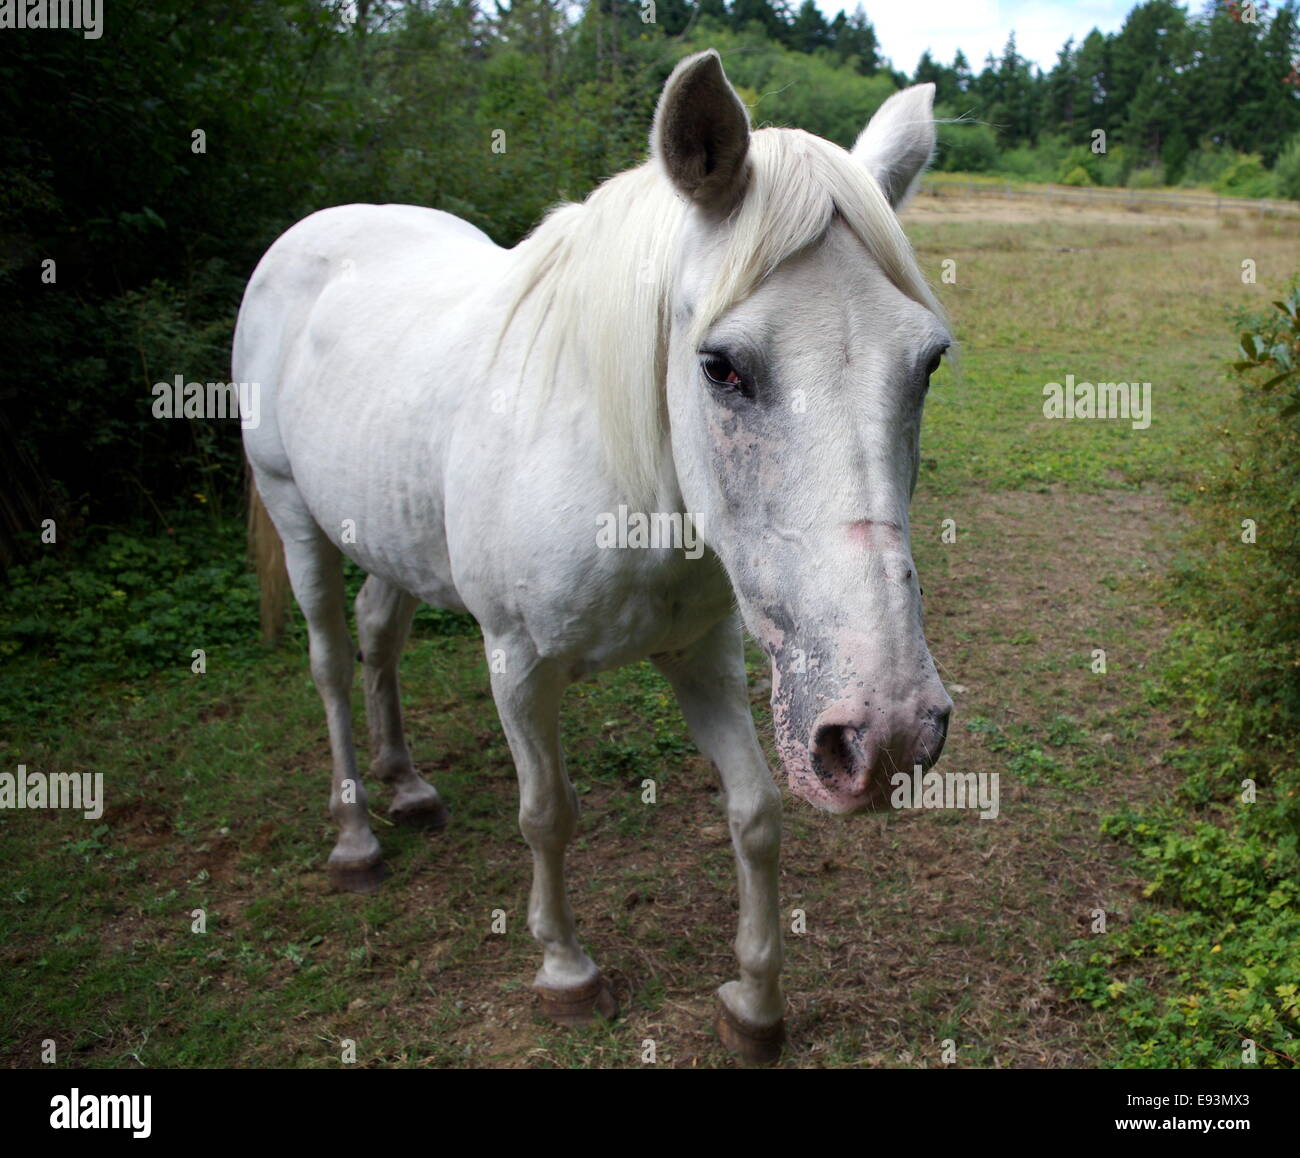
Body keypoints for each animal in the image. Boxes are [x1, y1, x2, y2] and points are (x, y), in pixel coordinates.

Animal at [233, 56, 951, 1070]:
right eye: (722, 366)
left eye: (928, 362)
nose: (886, 737)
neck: (622, 471)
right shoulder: (518, 663)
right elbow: (548, 814)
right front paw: (566, 971)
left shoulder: (703, 656)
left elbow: (755, 814)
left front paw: (754, 1003)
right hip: (296, 514)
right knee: (332, 663)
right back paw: (355, 838)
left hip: (390, 531)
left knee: (379, 636)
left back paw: (406, 786)